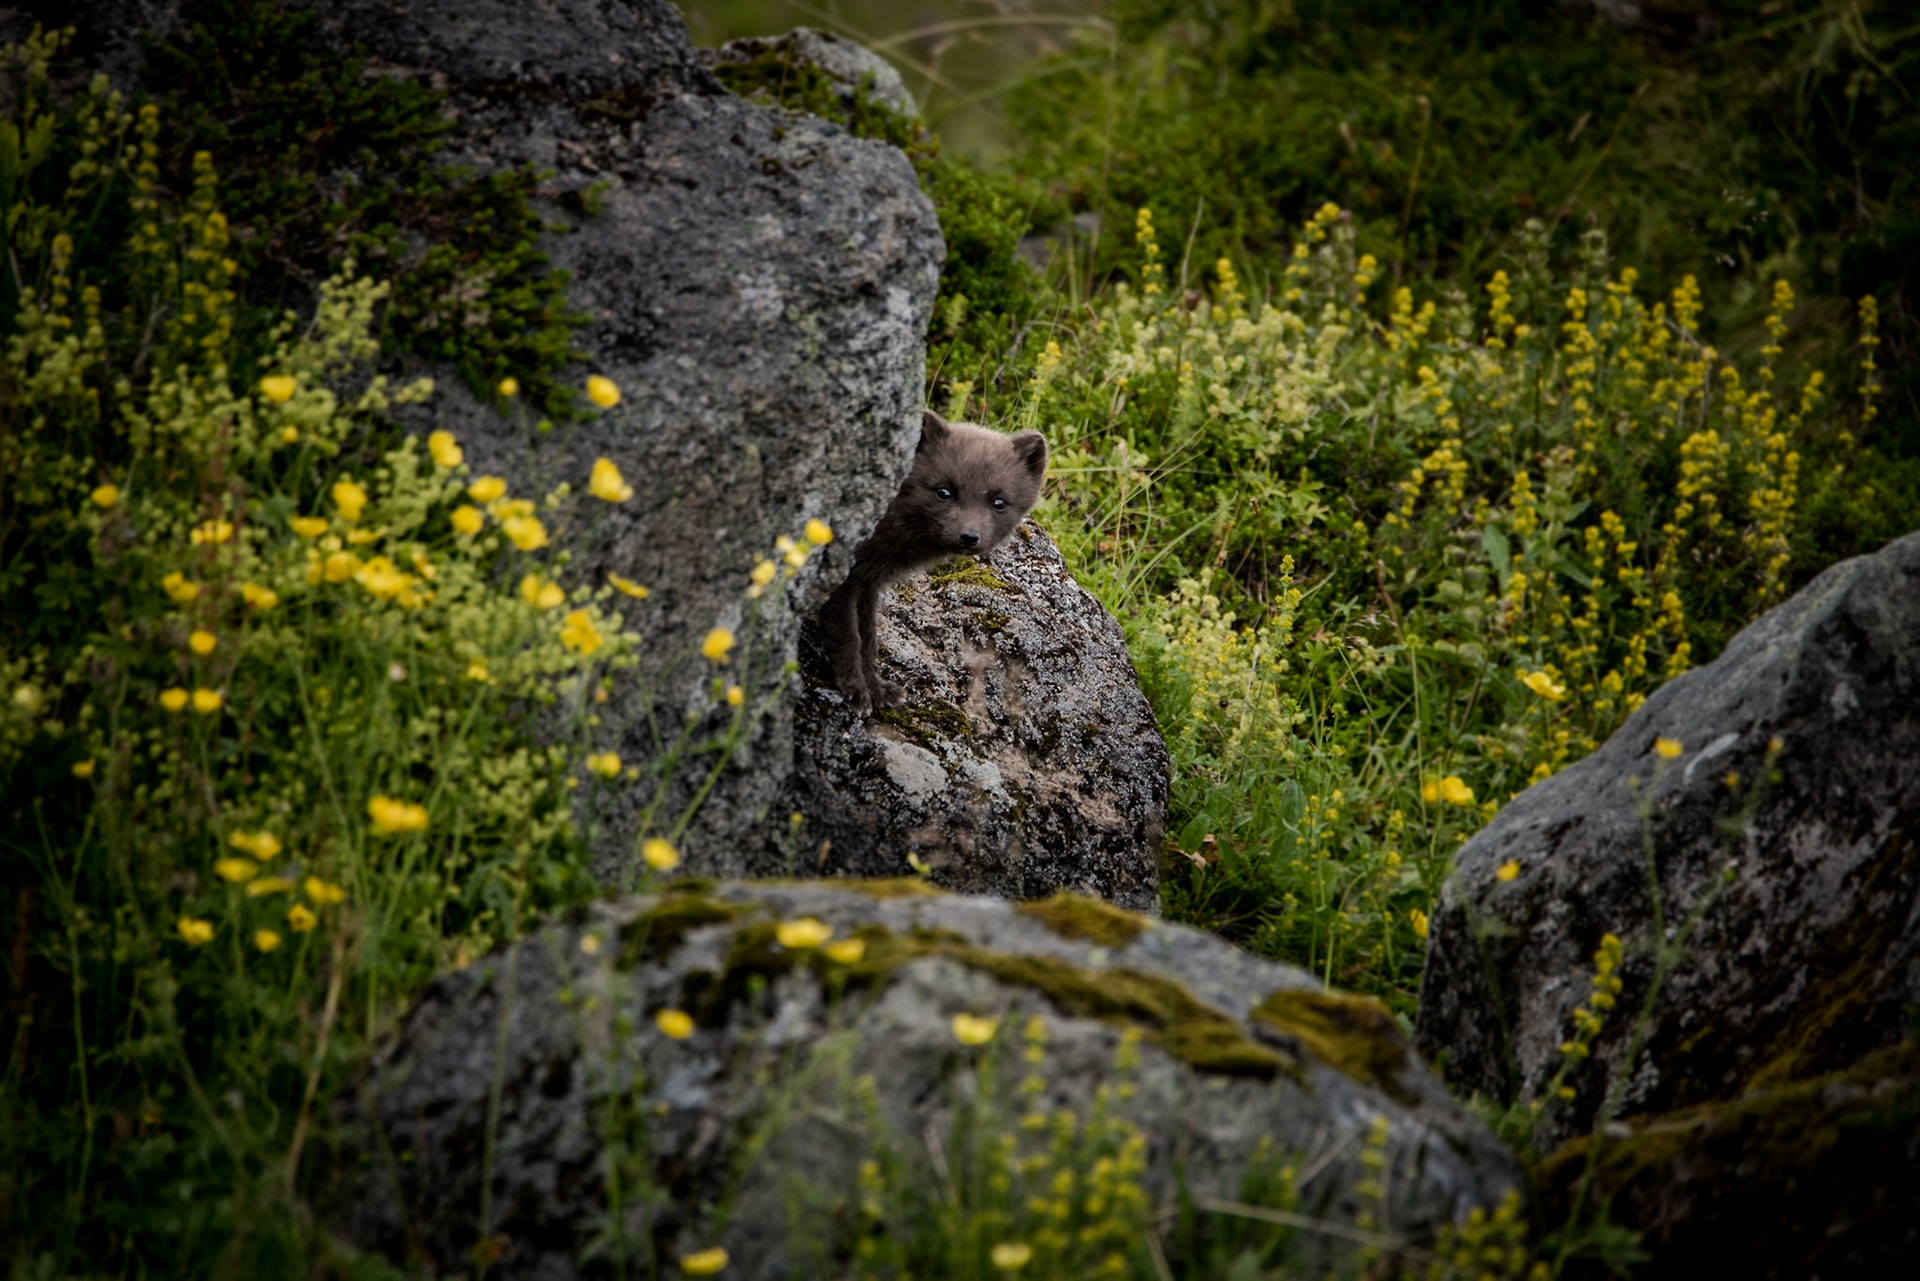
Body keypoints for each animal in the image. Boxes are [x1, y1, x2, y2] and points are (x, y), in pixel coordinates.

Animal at [819, 410, 1049, 716]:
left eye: (999, 502)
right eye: (944, 492)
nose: (969, 536)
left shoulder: (868, 580)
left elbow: (867, 637)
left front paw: (878, 689)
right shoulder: (843, 578)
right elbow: (848, 635)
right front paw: (856, 691)